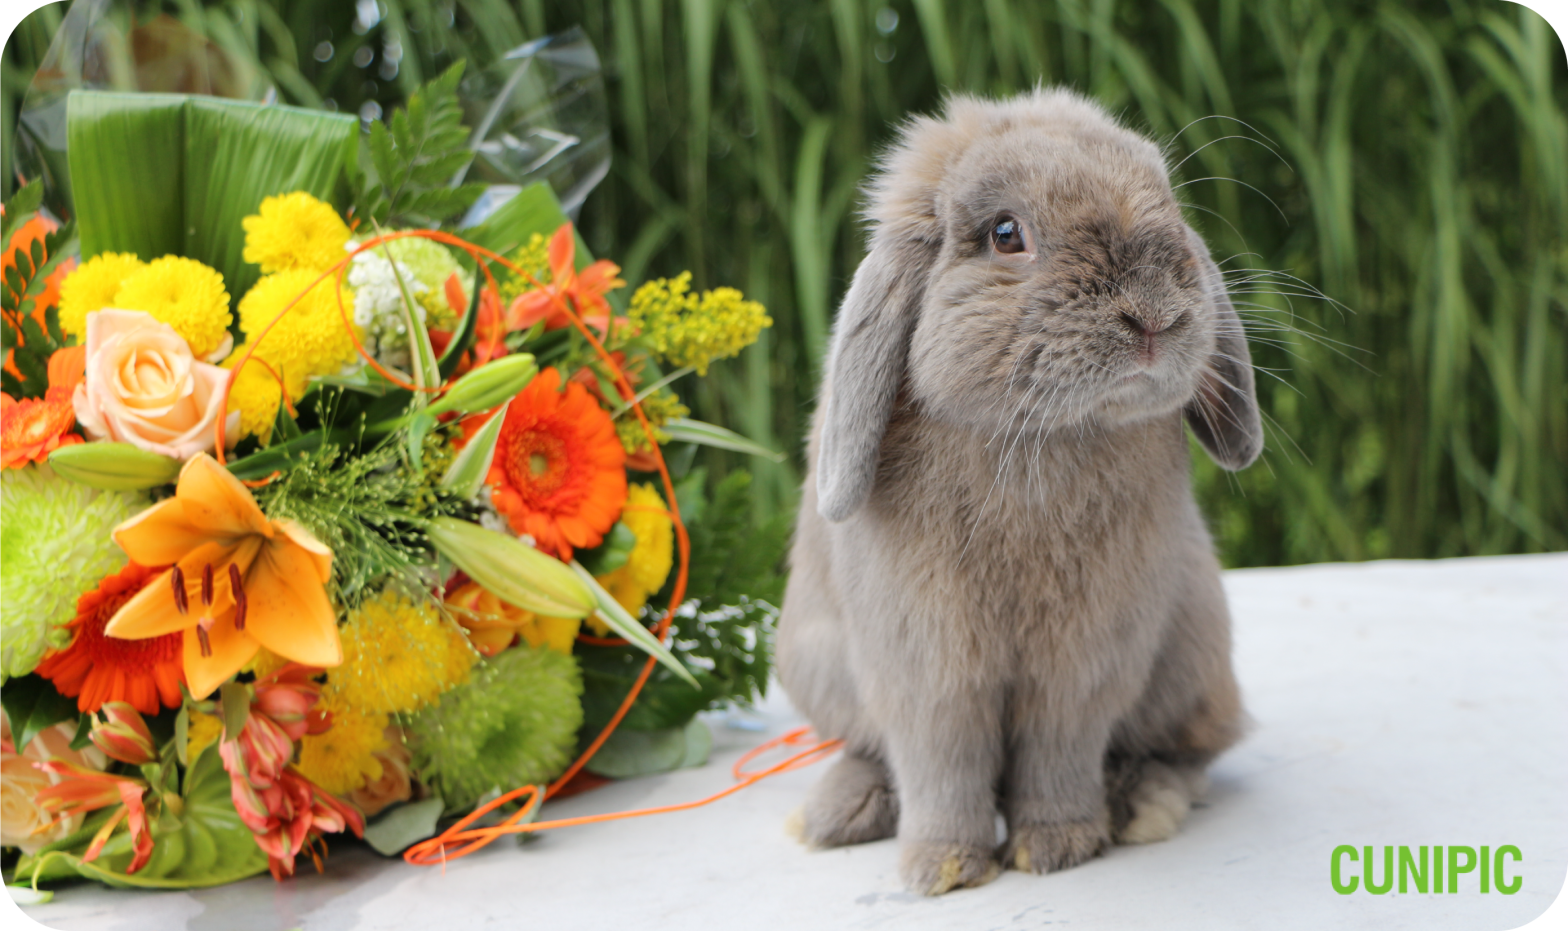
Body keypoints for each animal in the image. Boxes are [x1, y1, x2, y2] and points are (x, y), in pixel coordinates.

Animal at [775, 88, 1262, 896]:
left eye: (1166, 202)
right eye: (1007, 234)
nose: (1154, 314)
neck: (1047, 437)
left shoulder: (1085, 664)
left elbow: (1060, 747)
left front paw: (1057, 846)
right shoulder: (927, 666)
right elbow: (942, 756)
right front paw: (940, 867)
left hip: (1193, 658)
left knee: (1191, 750)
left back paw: (1141, 803)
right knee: (870, 748)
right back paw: (836, 813)